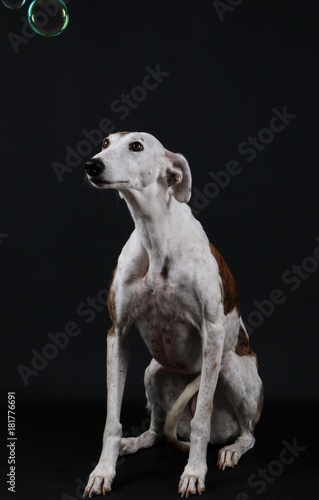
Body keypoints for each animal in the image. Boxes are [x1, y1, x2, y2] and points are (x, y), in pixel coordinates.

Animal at [84, 132, 264, 496]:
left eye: (136, 146)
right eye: (106, 142)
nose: (92, 165)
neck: (156, 236)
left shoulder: (213, 332)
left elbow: (201, 420)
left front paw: (194, 472)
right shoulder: (117, 333)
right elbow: (112, 418)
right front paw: (103, 471)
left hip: (229, 367)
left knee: (246, 433)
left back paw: (231, 450)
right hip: (153, 372)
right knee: (156, 430)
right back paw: (133, 442)